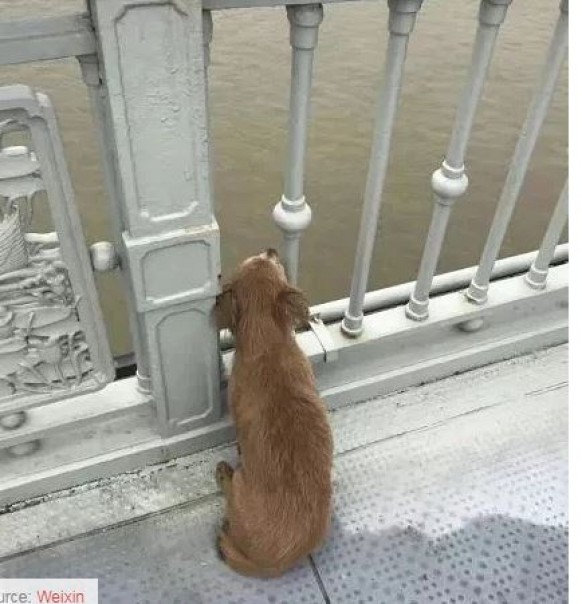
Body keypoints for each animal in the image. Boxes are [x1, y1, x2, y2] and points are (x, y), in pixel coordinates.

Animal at [214, 249, 334, 576]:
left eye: (271, 262)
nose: (271, 249)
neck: (267, 341)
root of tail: (273, 563)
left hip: (240, 488)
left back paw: (224, 473)